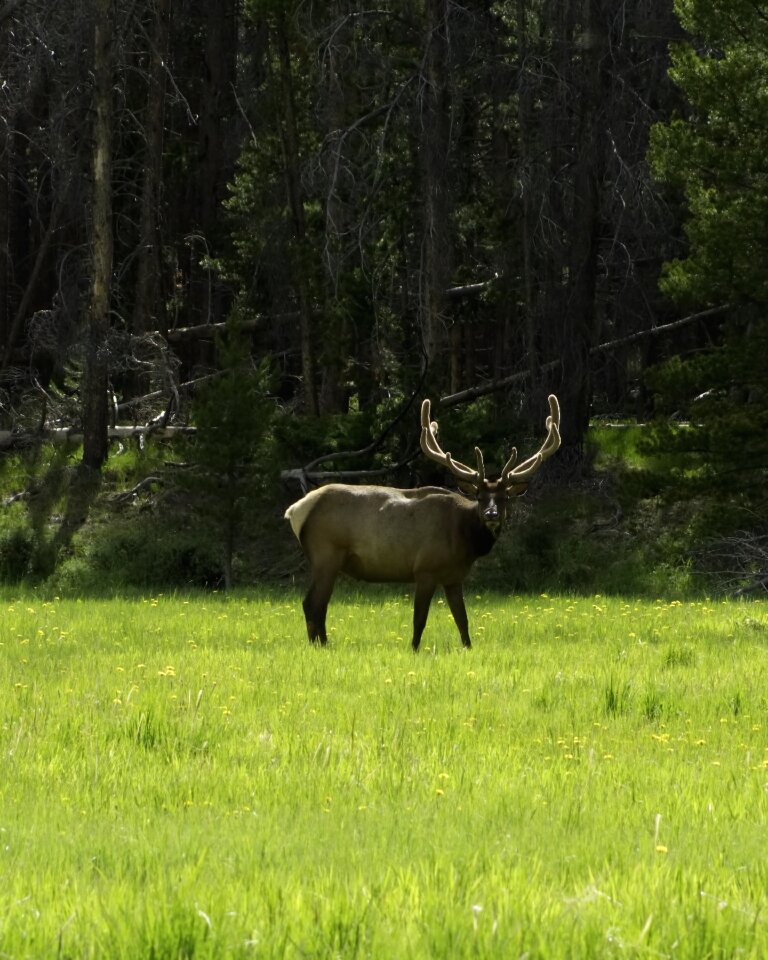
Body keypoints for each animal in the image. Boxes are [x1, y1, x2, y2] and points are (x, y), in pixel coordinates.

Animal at [284, 394, 560, 648]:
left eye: (504, 498)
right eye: (480, 497)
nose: (491, 515)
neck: (464, 538)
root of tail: (295, 509)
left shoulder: (454, 577)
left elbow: (462, 619)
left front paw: (468, 647)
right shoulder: (425, 568)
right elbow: (420, 619)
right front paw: (414, 649)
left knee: (316, 604)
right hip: (325, 554)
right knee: (313, 604)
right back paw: (321, 645)